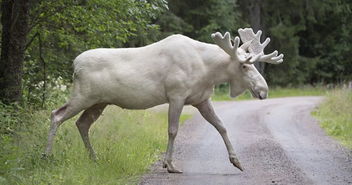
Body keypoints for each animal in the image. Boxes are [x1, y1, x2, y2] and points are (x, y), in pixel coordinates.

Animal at [45, 27, 284, 173]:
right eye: (244, 66)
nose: (263, 89)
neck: (208, 71)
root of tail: (75, 64)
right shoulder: (176, 95)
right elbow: (173, 130)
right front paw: (169, 164)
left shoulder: (201, 99)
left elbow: (222, 126)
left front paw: (237, 161)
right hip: (83, 96)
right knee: (56, 115)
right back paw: (47, 155)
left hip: (99, 102)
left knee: (82, 123)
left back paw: (94, 158)